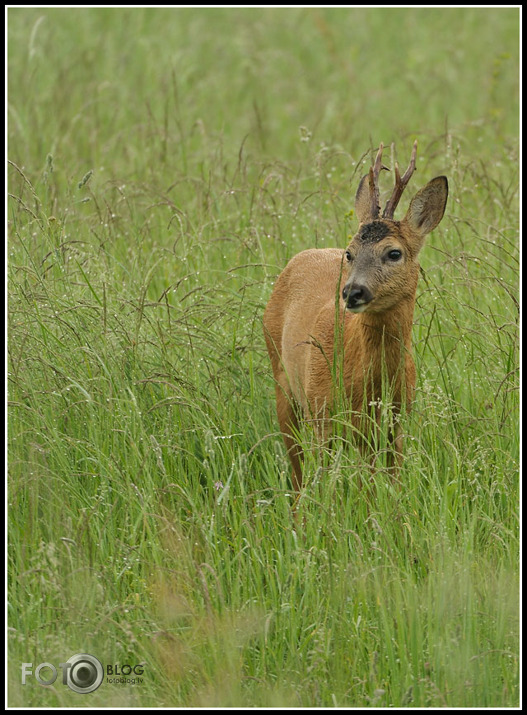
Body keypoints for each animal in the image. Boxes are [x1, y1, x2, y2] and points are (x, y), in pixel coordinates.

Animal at [264, 143, 450, 496]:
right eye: (349, 253)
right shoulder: (321, 412)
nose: (352, 292)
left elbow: (386, 484)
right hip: (283, 380)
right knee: (297, 469)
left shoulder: (397, 420)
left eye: (394, 253)